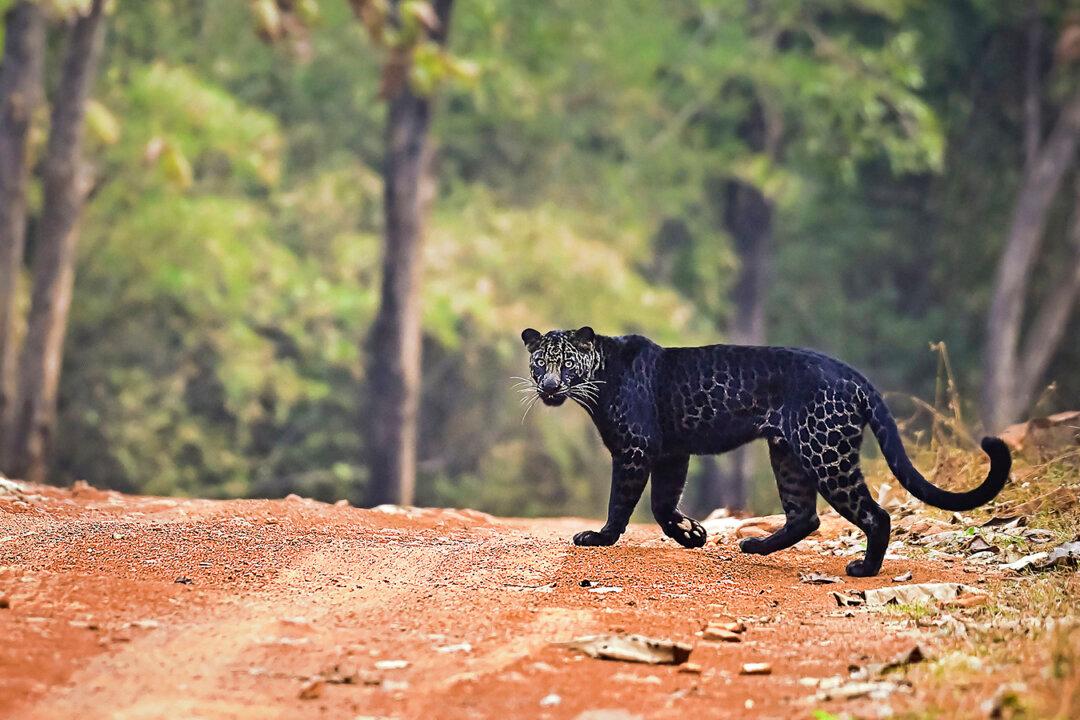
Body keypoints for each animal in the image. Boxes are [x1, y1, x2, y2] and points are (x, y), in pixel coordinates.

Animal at [517, 326, 1011, 577]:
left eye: (566, 362)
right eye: (540, 363)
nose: (550, 386)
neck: (599, 379)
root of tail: (853, 375)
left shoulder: (636, 449)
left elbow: (623, 501)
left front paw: (599, 537)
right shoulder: (672, 452)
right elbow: (662, 503)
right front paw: (692, 535)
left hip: (824, 452)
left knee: (875, 514)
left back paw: (864, 569)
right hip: (788, 454)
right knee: (804, 515)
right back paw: (756, 546)